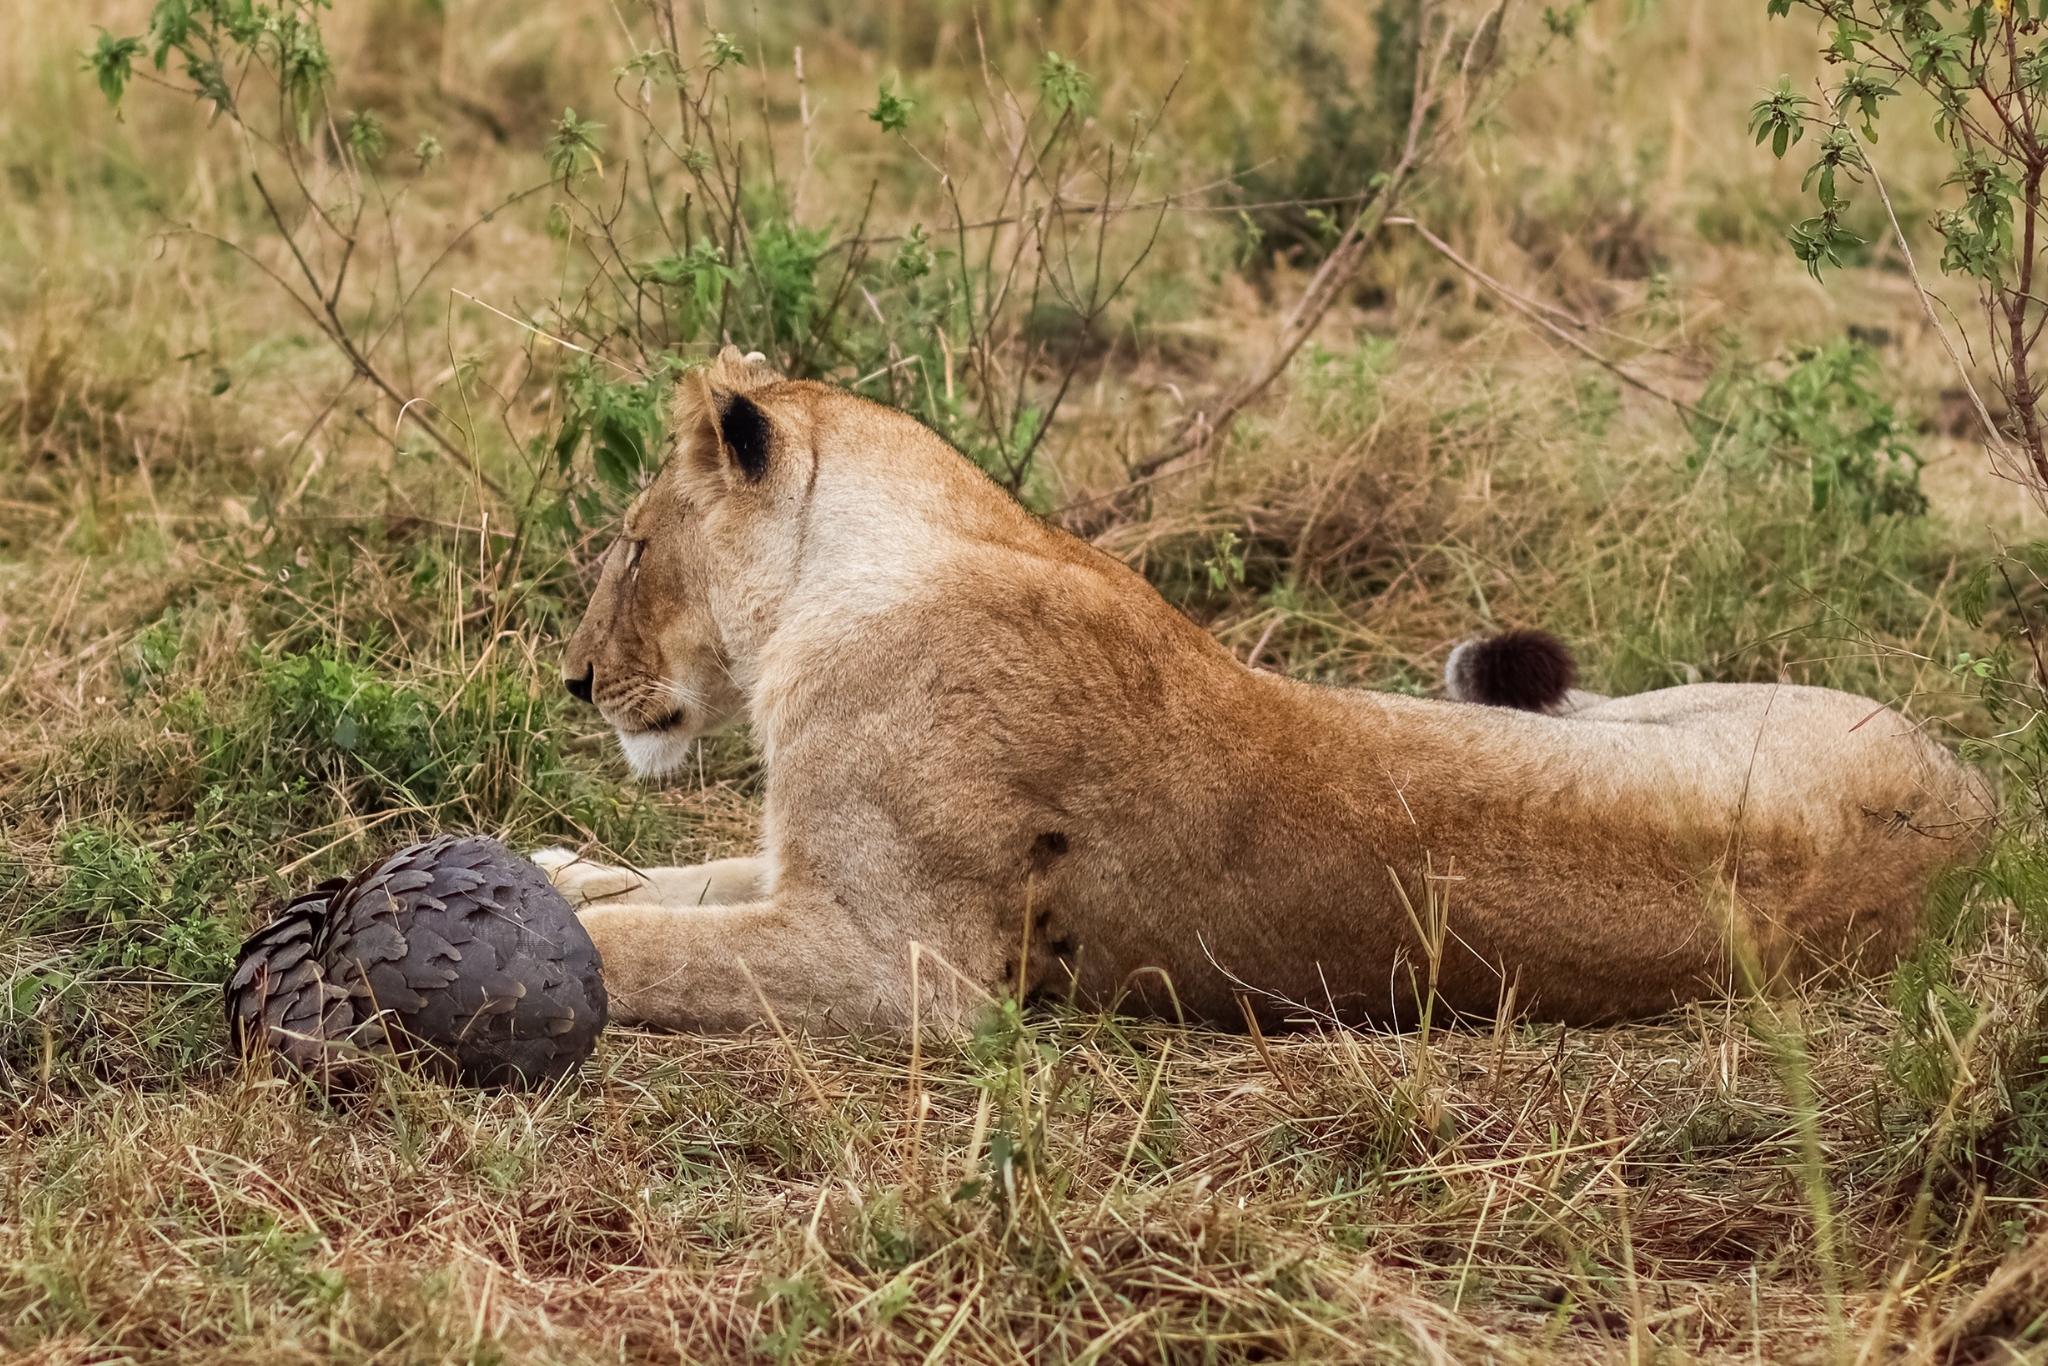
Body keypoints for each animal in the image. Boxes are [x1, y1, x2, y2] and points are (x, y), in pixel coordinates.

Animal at [536, 347, 1992, 1034]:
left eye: (631, 544)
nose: (572, 679)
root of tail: (1977, 818)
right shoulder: (805, 863)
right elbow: (675, 883)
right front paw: (562, 867)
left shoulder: (903, 963)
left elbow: (648, 947)